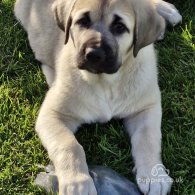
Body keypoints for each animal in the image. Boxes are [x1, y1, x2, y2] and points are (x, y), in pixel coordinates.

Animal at [14, 0, 181, 195]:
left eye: (119, 27)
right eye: (83, 21)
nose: (94, 54)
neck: (106, 83)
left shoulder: (146, 108)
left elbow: (148, 138)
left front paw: (154, 175)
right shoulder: (52, 115)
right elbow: (69, 145)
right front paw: (78, 183)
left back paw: (165, 11)